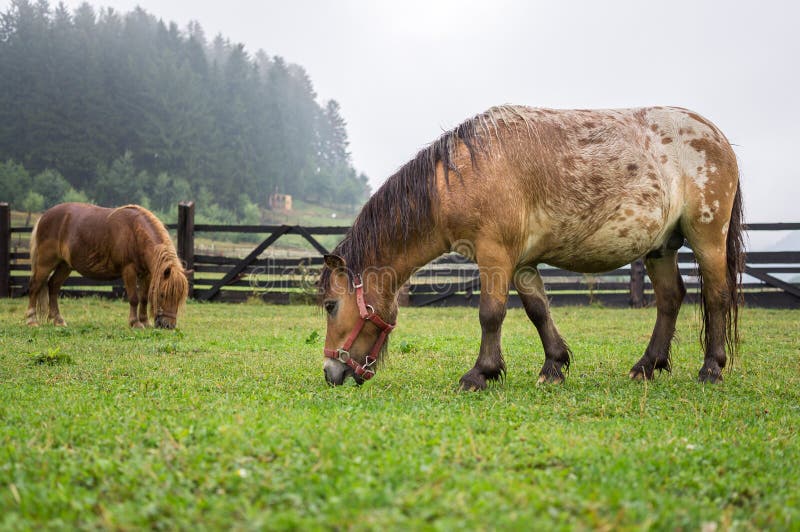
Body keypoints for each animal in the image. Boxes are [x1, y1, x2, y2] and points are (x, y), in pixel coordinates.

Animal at [26, 203, 189, 328]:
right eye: (162, 294)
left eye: (179, 297)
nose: (168, 325)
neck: (135, 233)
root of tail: (44, 217)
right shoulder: (129, 270)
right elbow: (134, 298)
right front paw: (135, 323)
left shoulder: (146, 274)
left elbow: (143, 298)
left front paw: (145, 322)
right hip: (45, 263)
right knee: (35, 286)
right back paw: (31, 320)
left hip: (65, 266)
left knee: (53, 286)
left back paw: (58, 320)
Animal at [318, 105, 744, 386]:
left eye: (330, 305)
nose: (331, 372)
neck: (465, 173)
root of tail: (716, 136)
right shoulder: (521, 263)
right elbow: (538, 311)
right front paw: (554, 366)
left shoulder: (495, 255)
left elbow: (491, 314)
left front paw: (481, 374)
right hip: (661, 247)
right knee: (670, 298)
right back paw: (647, 365)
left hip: (707, 237)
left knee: (717, 296)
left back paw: (711, 368)